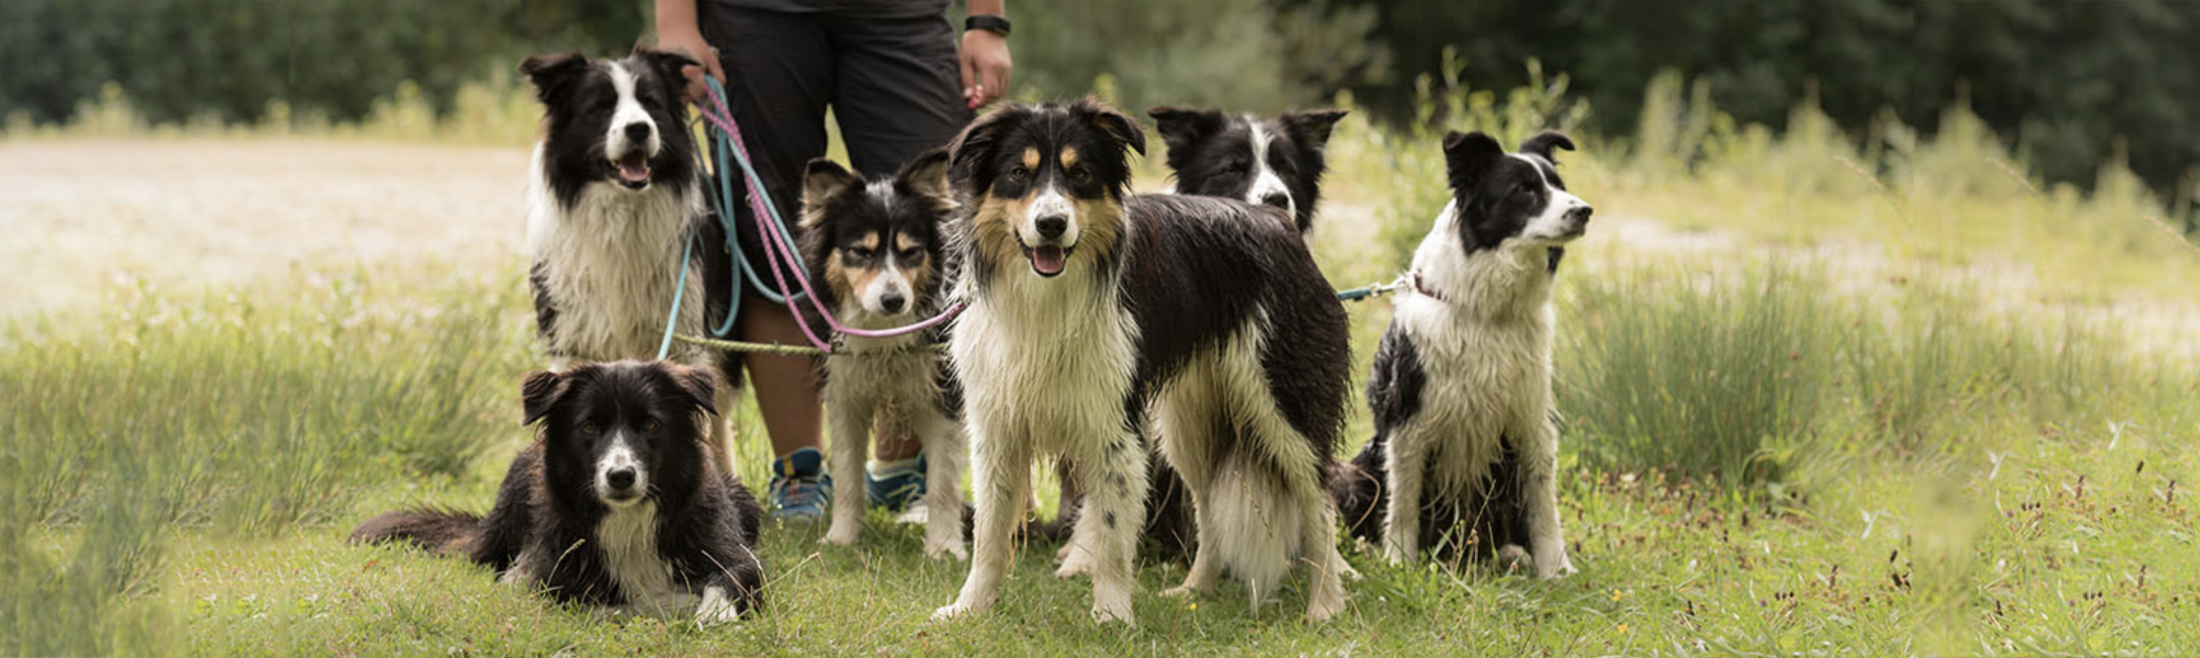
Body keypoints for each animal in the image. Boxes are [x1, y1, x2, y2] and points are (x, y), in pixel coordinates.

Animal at [349, 360, 765, 624]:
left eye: (650, 424)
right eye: (590, 426)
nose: (621, 476)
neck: (627, 518)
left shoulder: (728, 548)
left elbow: (731, 577)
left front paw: (712, 612)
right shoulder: (557, 577)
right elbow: (604, 601)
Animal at [792, 149, 963, 561]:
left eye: (911, 252)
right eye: (860, 251)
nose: (893, 300)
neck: (882, 330)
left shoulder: (943, 395)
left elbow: (943, 482)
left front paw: (944, 547)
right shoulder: (843, 392)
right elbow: (847, 474)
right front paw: (841, 537)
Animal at [932, 97, 1346, 624]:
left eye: (1081, 174)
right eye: (1017, 174)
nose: (1051, 225)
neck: (1045, 293)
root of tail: (1274, 220)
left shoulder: (1114, 422)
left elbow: (1110, 528)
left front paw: (1111, 615)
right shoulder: (997, 421)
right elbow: (989, 531)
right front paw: (971, 607)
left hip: (1285, 404)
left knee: (1319, 504)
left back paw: (1326, 605)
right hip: (1190, 423)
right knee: (1208, 509)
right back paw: (1195, 590)